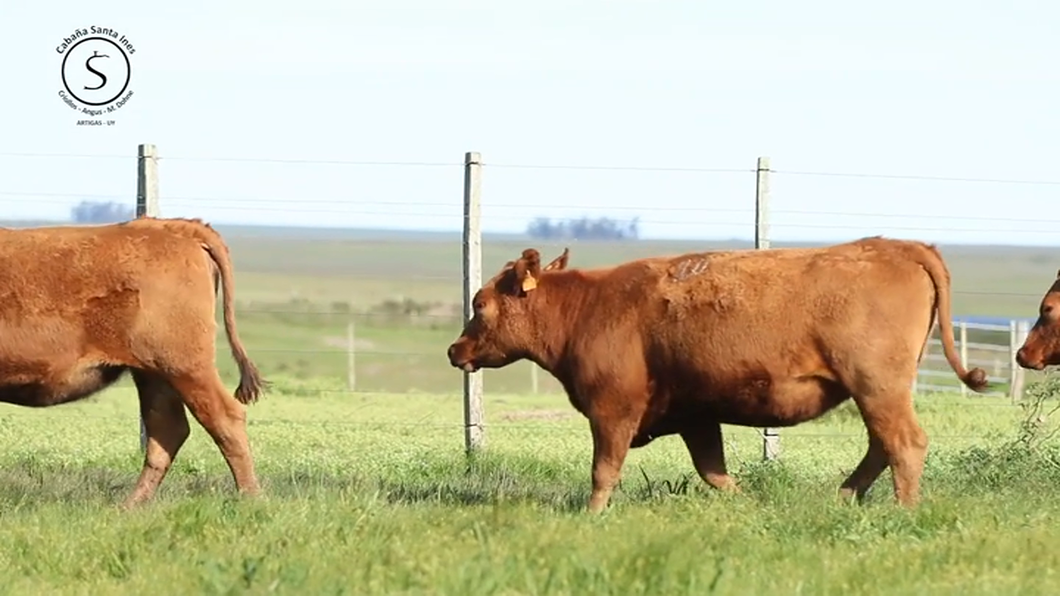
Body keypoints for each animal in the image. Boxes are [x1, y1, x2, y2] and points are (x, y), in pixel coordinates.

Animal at [0, 217, 265, 504]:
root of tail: (173, 226)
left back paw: (252, 499)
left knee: (225, 419)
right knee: (167, 430)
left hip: (187, 369)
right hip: (154, 374)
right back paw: (130, 506)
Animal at [447, 236, 992, 511]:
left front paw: (592, 515)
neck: (587, 308)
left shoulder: (612, 409)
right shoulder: (696, 416)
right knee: (882, 445)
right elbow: (714, 472)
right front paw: (748, 505)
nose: (455, 349)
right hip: (875, 392)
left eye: (480, 304)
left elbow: (604, 471)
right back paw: (842, 497)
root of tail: (900, 245)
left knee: (903, 443)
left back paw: (903, 510)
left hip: (877, 387)